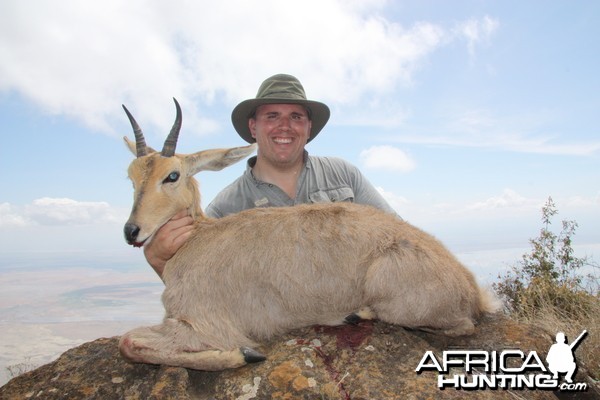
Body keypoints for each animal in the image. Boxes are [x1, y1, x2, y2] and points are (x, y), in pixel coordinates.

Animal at [119, 98, 500, 370]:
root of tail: (471, 288)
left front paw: (246, 354)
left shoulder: (203, 325)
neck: (196, 239)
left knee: (462, 326)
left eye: (172, 175)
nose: (131, 230)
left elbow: (130, 343)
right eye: (131, 175)